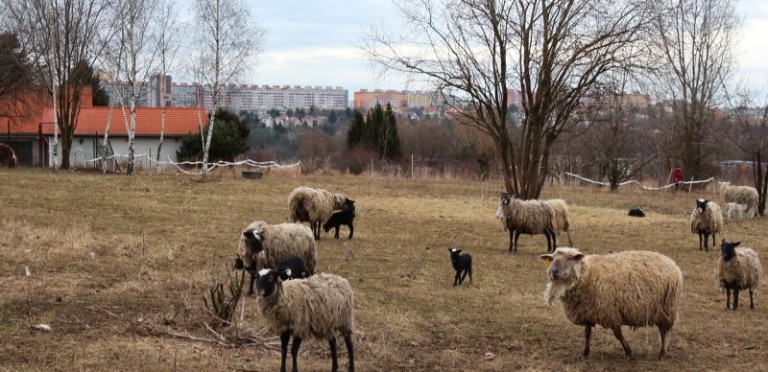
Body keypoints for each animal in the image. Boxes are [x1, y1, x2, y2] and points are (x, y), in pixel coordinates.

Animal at [540, 248, 684, 358]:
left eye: (570, 258)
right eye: (552, 259)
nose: (553, 272)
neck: (585, 274)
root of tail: (672, 263)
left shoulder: (610, 312)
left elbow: (618, 334)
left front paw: (629, 352)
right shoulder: (587, 312)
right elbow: (587, 333)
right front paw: (585, 353)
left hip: (667, 307)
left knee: (664, 331)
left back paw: (662, 353)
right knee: (664, 330)